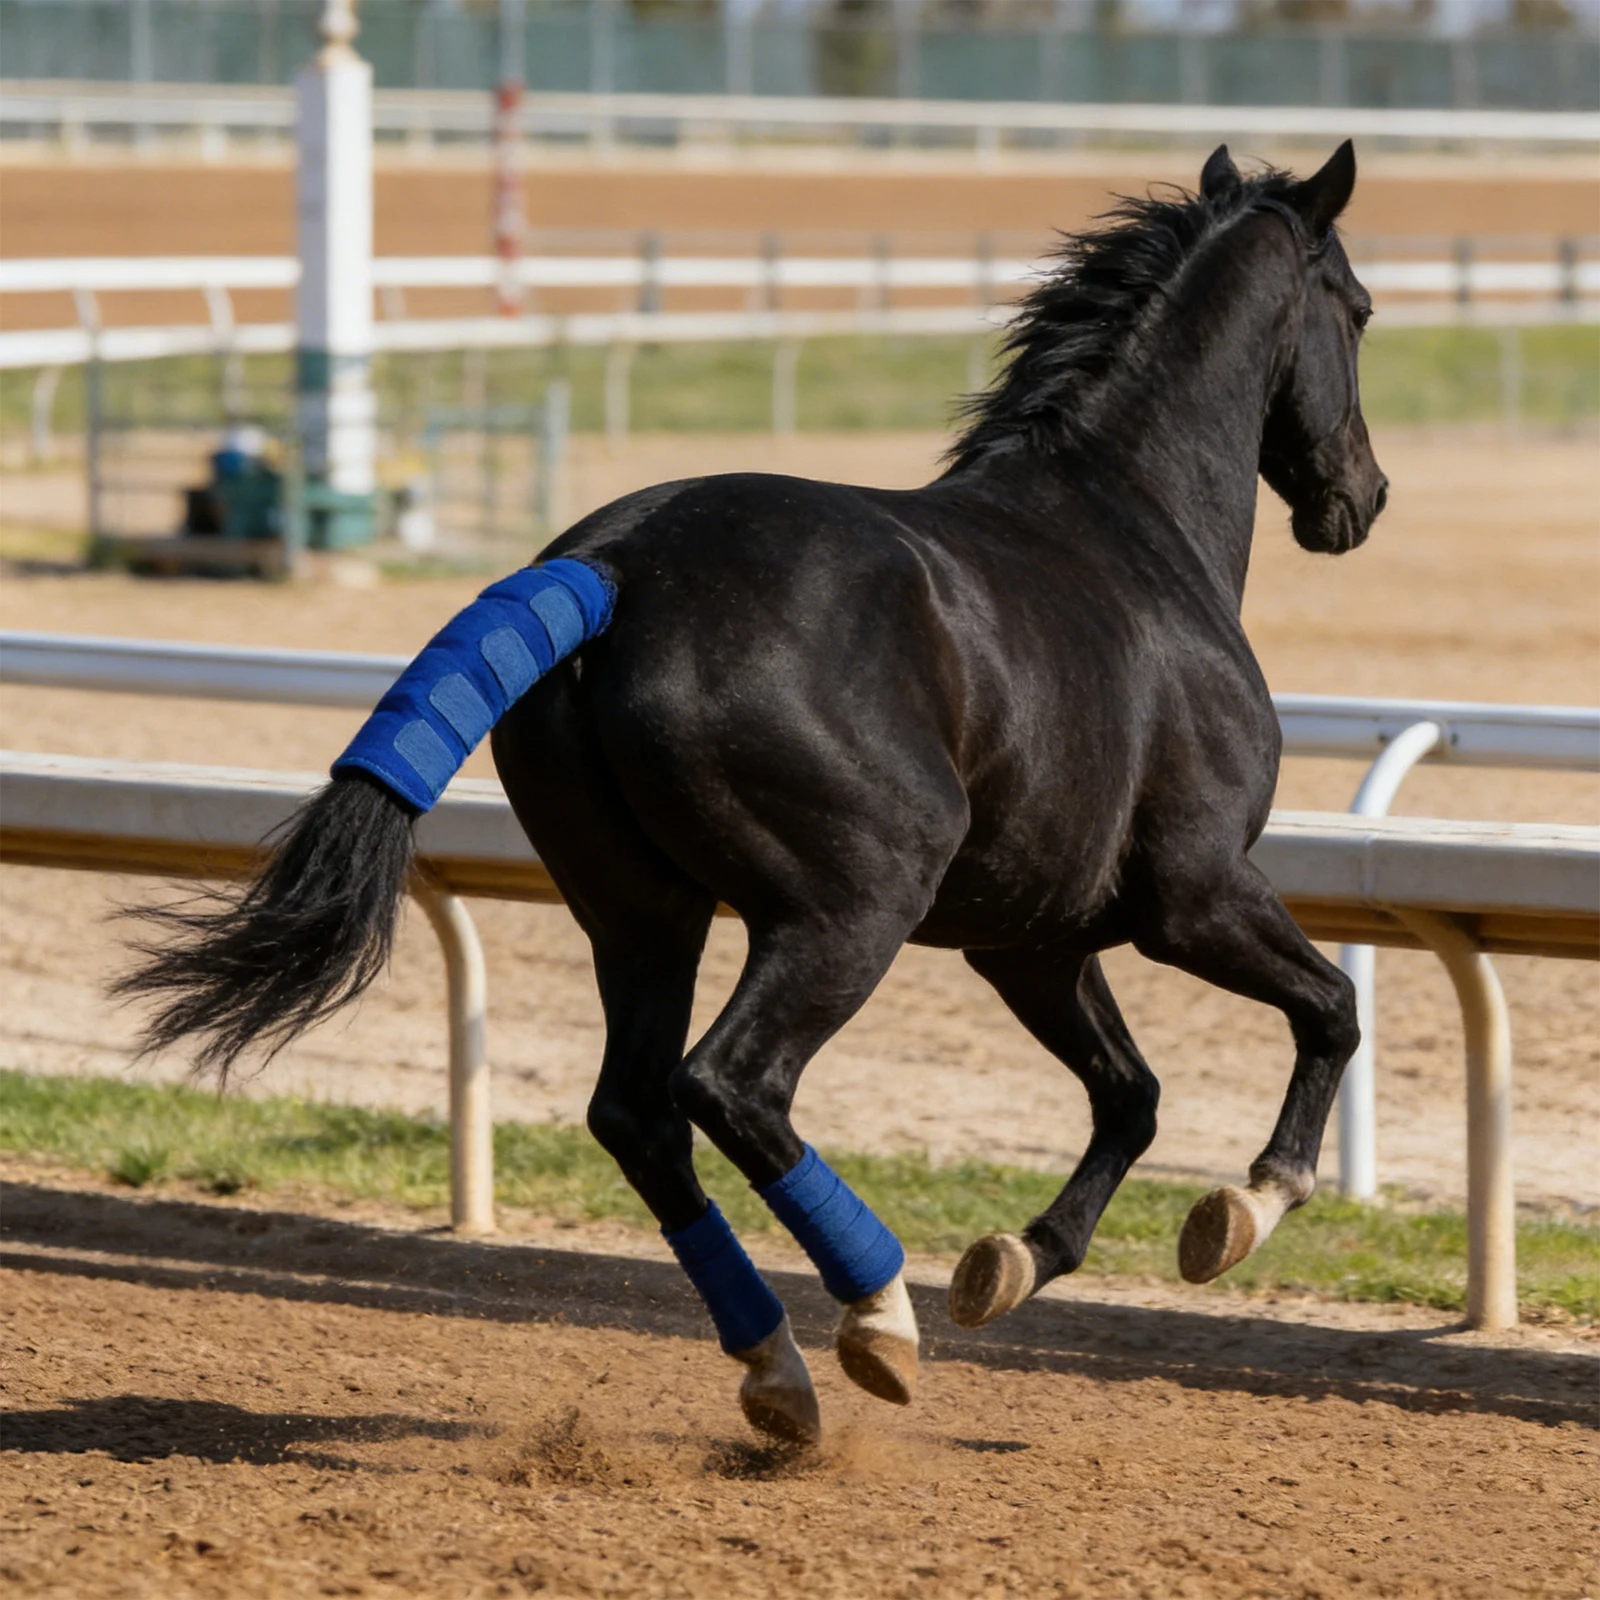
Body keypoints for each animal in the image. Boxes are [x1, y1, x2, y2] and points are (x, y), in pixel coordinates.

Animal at [119, 141, 1387, 1448]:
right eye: (1358, 308)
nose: (1362, 497)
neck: (1128, 523)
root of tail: (610, 566)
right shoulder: (1192, 894)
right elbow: (1328, 1010)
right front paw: (1245, 1206)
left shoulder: (1030, 938)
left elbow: (1129, 1093)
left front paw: (1017, 1259)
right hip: (845, 912)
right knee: (731, 1083)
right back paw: (875, 1317)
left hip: (641, 917)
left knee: (638, 1113)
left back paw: (777, 1367)